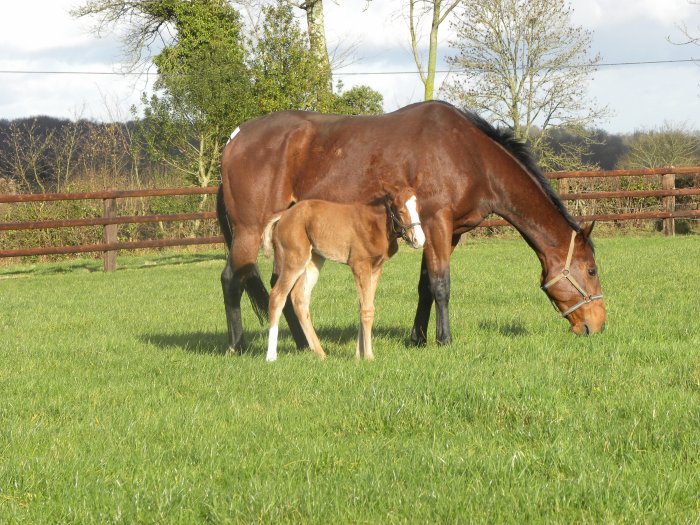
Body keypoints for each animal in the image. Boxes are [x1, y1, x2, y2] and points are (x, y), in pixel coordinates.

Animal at [262, 184, 426, 360]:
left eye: (419, 208)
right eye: (401, 211)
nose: (419, 240)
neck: (375, 224)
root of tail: (283, 216)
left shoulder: (375, 268)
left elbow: (363, 305)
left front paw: (358, 356)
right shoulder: (360, 265)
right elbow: (367, 309)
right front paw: (369, 357)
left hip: (313, 260)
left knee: (299, 298)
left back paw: (320, 353)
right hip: (295, 259)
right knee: (277, 296)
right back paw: (271, 356)